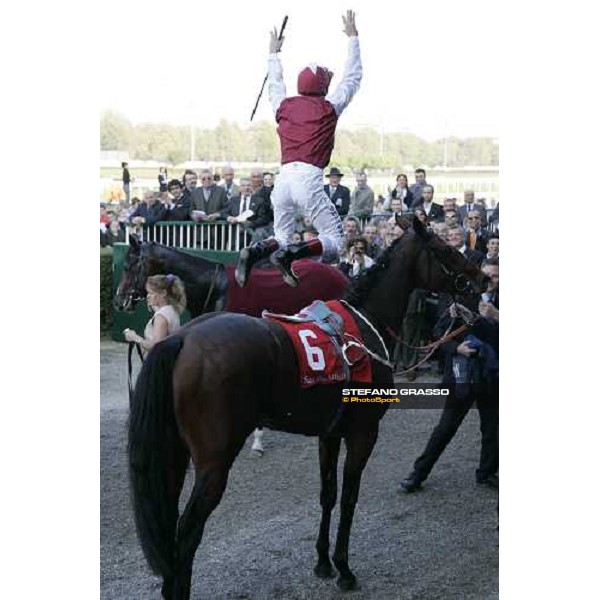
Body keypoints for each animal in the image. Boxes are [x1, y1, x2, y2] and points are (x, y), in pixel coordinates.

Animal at [126, 217, 488, 600]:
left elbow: (328, 495)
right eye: (445, 249)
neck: (365, 322)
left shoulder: (329, 434)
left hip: (175, 454)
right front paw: (344, 569)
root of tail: (181, 339)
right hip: (214, 461)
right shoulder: (363, 433)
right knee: (187, 531)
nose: (483, 279)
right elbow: (349, 498)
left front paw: (324, 563)